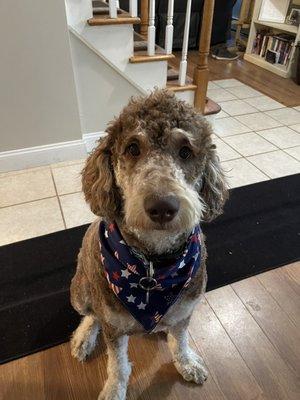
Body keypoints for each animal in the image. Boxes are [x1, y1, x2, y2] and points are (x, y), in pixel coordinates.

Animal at [69, 90, 227, 400]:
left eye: (185, 151)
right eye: (133, 148)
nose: (162, 207)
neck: (154, 267)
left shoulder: (185, 311)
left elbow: (181, 341)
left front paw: (187, 363)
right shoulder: (114, 328)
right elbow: (118, 365)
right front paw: (113, 390)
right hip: (80, 291)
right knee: (90, 315)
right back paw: (83, 338)